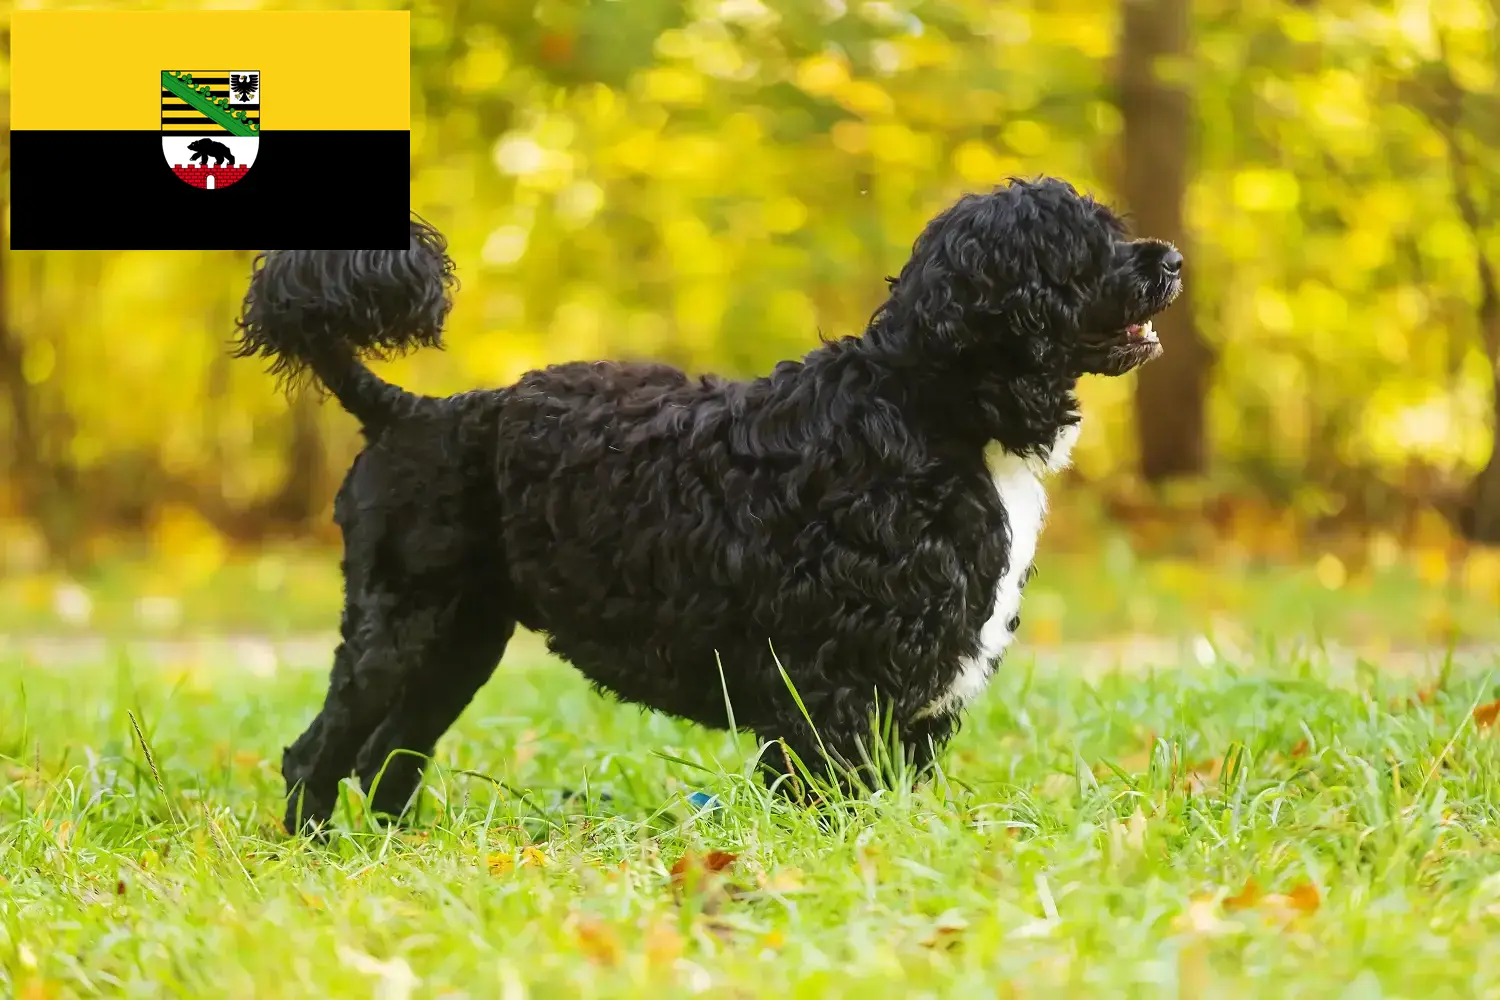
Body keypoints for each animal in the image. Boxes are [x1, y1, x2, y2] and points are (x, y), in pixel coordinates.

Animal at [234, 176, 1182, 833]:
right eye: (1083, 246)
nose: (1171, 259)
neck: (930, 409)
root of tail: (408, 411)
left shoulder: (906, 693)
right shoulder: (832, 685)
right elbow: (832, 798)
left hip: (461, 640)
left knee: (387, 759)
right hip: (401, 628)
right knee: (316, 755)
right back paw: (318, 858)